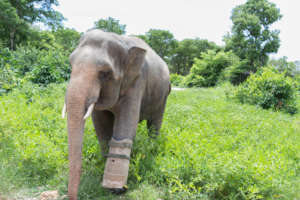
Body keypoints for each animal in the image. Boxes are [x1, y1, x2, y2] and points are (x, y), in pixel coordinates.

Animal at [62, 28, 170, 199]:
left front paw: (116, 189)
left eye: (105, 73)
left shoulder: (136, 82)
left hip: (163, 95)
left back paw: (152, 150)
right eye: (71, 64)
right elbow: (101, 126)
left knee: (154, 123)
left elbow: (126, 127)